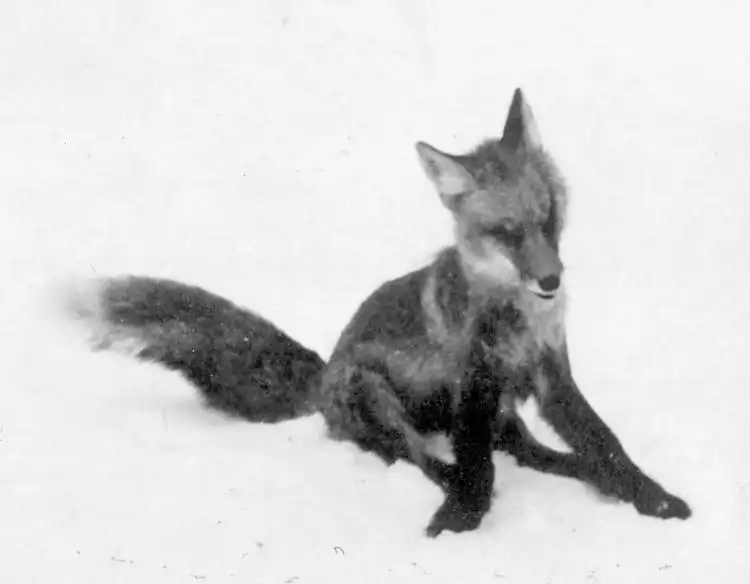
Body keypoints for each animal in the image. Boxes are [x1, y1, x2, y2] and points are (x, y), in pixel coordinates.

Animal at [66, 88, 691, 536]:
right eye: (507, 233)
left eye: (550, 217)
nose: (551, 281)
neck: (512, 320)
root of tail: (322, 378)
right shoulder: (473, 385)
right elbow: (475, 467)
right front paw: (462, 517)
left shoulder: (549, 375)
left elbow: (606, 443)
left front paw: (651, 498)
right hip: (376, 396)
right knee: (414, 456)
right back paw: (451, 484)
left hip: (505, 413)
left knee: (537, 455)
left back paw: (581, 478)